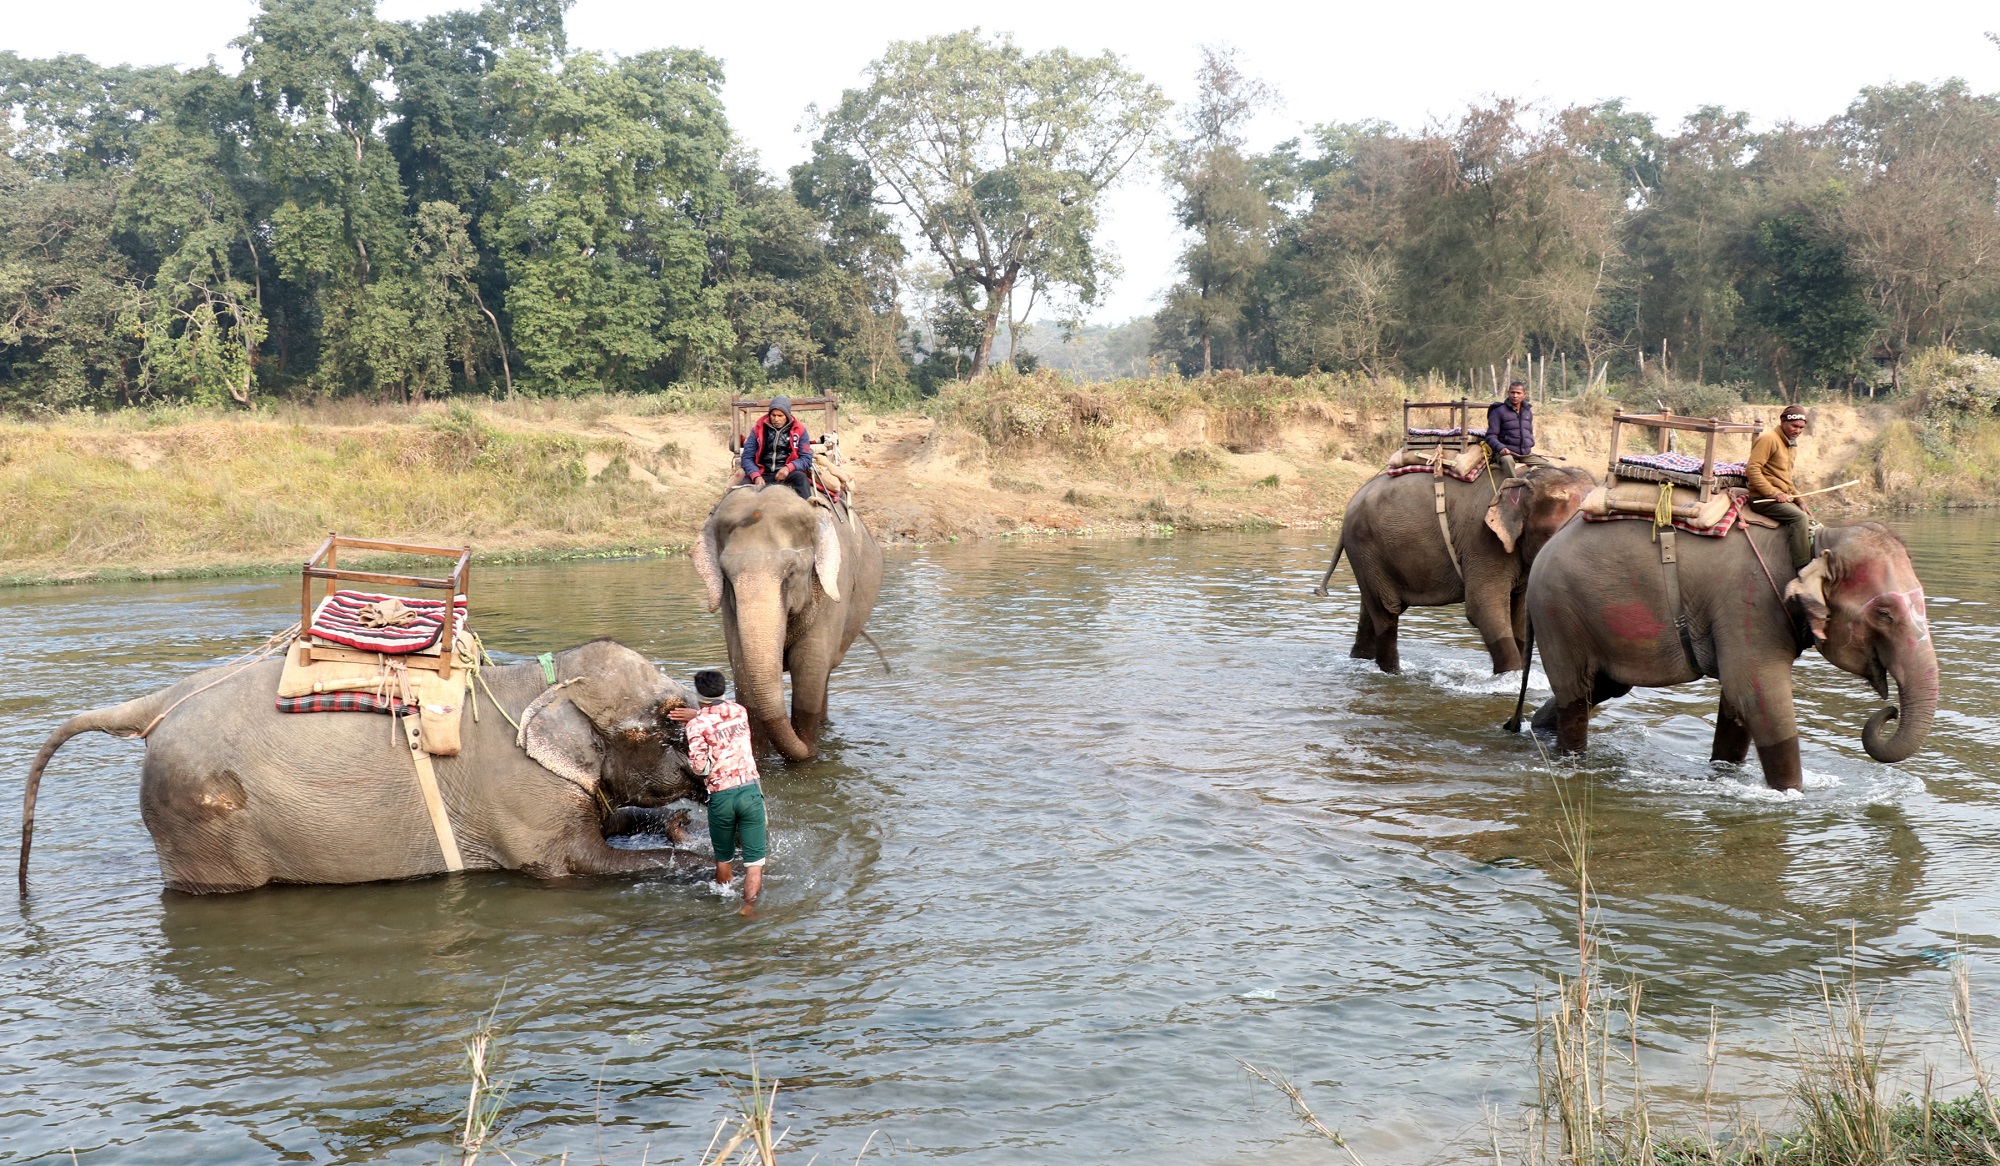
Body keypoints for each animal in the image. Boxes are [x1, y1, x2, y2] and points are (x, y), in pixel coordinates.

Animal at [21, 640, 712, 896]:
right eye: (662, 720)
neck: (536, 684)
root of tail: (157, 705)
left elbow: (613, 819)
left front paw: (681, 830)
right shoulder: (523, 802)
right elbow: (575, 865)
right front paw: (707, 862)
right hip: (200, 819)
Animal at [692, 480, 880, 760]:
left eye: (791, 573)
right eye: (726, 576)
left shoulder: (836, 585)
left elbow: (808, 663)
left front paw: (808, 755)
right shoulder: (729, 606)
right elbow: (741, 664)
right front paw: (760, 757)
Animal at [1328, 460, 1592, 672]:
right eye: (1551, 533)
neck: (1525, 478)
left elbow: (1519, 612)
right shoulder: (1483, 541)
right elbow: (1483, 607)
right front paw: (1509, 681)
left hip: (1370, 557)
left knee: (1370, 611)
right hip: (1365, 546)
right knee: (1387, 612)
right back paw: (1393, 673)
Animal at [1512, 516, 1936, 788]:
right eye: (1885, 614)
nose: (1890, 711)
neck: (1815, 542)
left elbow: (1737, 703)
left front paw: (1726, 772)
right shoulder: (1749, 604)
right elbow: (1759, 698)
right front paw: (1792, 795)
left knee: (1598, 688)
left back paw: (1537, 731)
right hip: (1558, 612)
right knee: (1575, 691)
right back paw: (1571, 761)